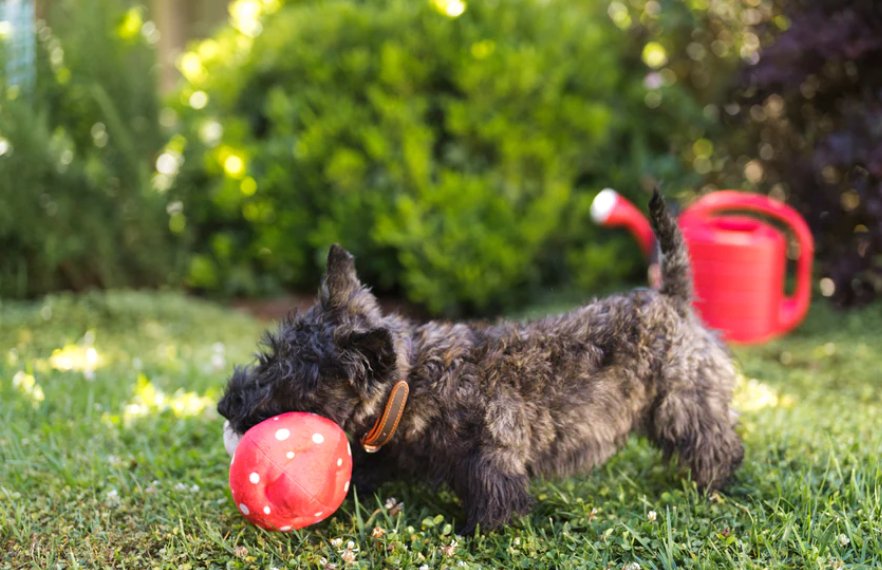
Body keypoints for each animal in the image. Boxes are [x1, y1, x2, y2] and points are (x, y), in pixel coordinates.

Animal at [215, 191, 744, 532]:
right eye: (270, 355)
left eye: (291, 381)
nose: (225, 405)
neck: (410, 386)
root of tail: (672, 297)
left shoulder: (491, 457)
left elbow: (494, 498)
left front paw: (479, 532)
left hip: (685, 404)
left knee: (716, 444)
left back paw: (714, 485)